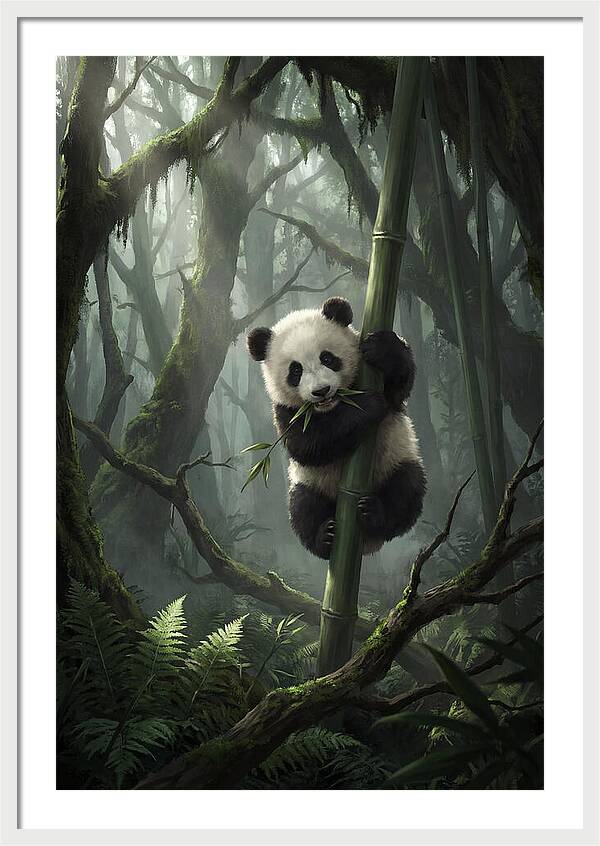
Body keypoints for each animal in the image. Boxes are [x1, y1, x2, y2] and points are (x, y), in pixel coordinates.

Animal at [247, 296, 426, 559]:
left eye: (327, 358)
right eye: (295, 370)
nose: (321, 391)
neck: (333, 406)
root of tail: (367, 544)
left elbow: (398, 387)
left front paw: (382, 349)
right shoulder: (285, 411)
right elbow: (308, 445)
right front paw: (368, 404)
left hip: (396, 459)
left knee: (406, 489)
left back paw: (375, 514)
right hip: (309, 483)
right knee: (303, 508)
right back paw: (325, 537)